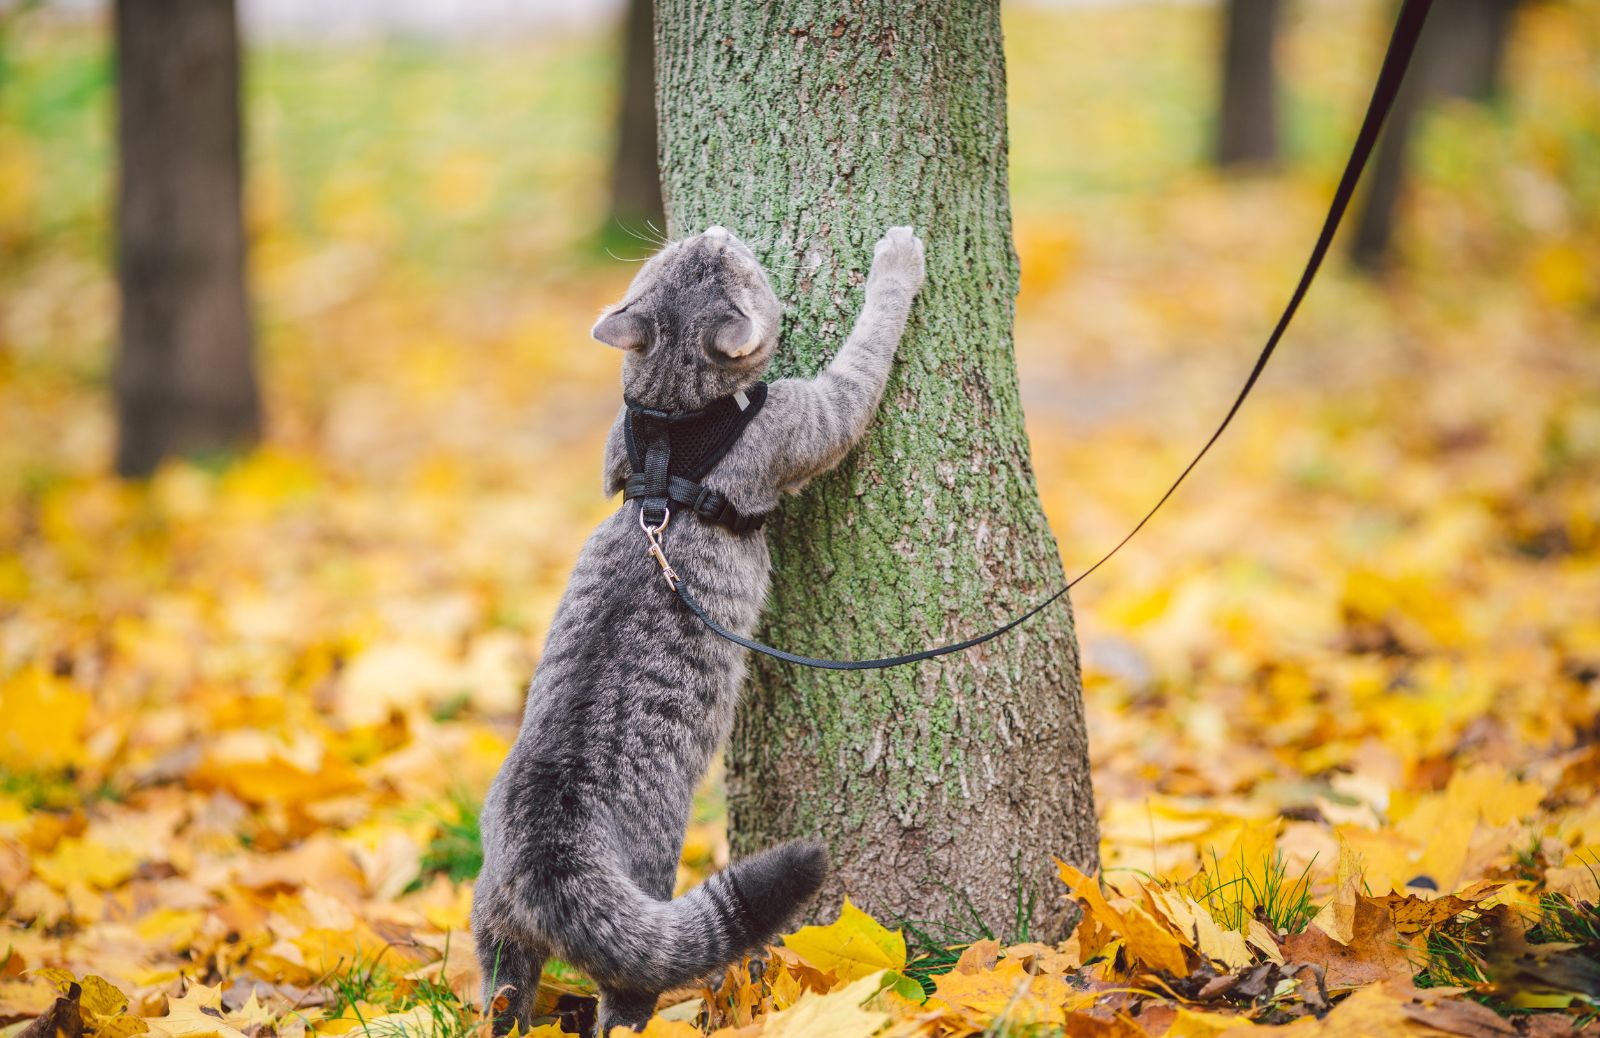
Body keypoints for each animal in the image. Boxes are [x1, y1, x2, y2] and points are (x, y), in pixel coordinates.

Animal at [470, 222, 928, 1030]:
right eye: (734, 263)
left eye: (693, 253)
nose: (715, 229)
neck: (673, 425)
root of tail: (545, 858)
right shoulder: (806, 417)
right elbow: (865, 356)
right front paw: (894, 266)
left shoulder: (615, 448)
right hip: (647, 893)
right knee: (626, 996)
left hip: (492, 926)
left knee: (501, 999)